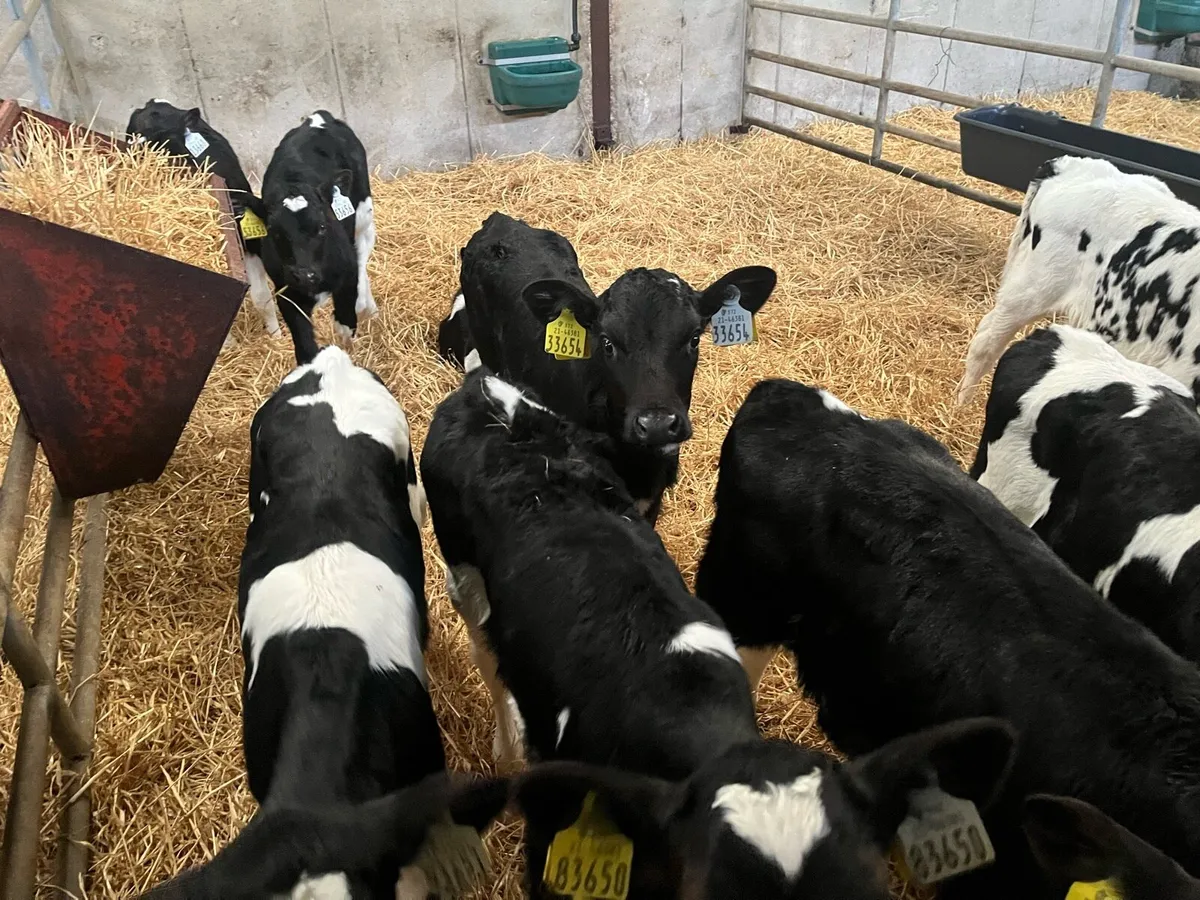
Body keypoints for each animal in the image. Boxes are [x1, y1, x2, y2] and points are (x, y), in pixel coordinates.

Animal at [259, 112, 376, 364]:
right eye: (275, 232)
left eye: (322, 227)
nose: (304, 274)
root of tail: (317, 117)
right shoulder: (287, 292)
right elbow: (305, 347)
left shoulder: (347, 275)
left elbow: (346, 326)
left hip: (364, 215)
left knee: (363, 251)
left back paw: (367, 305)